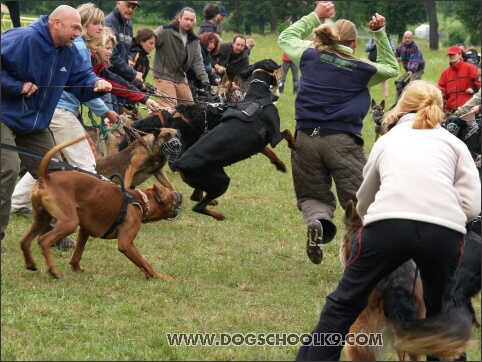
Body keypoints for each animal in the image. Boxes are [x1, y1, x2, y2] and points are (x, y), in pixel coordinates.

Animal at [18, 134, 183, 278]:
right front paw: (159, 276)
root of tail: (46, 178)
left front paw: (76, 268)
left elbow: (77, 253)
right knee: (44, 241)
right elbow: (145, 264)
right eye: (173, 197)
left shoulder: (84, 231)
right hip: (69, 222)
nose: (180, 194)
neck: (141, 200)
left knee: (25, 241)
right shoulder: (126, 244)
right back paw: (53, 270)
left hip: (41, 219)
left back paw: (31, 264)